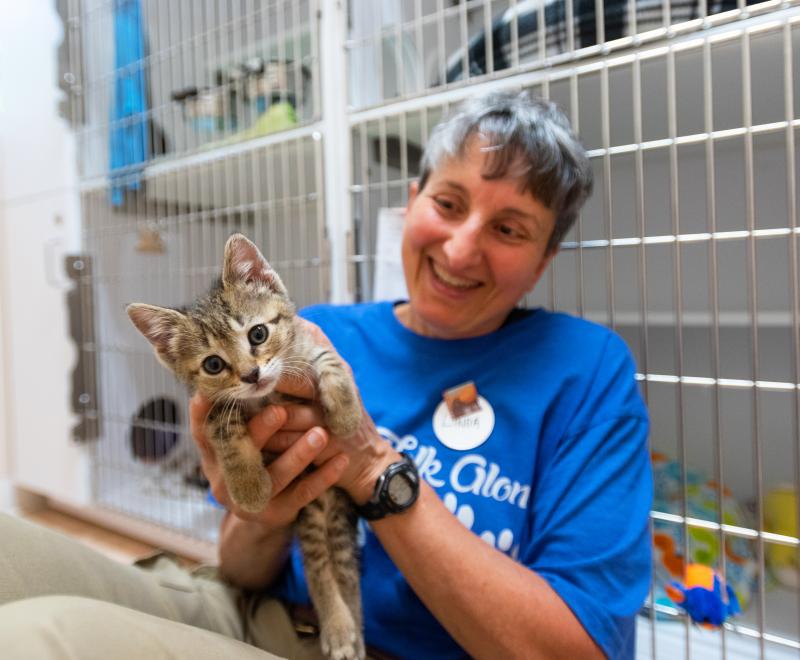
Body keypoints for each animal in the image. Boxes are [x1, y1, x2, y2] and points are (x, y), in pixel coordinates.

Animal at [129, 235, 366, 660]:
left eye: (258, 334)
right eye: (213, 364)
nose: (252, 374)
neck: (269, 397)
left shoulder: (308, 343)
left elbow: (331, 360)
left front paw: (345, 414)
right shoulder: (210, 408)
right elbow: (226, 432)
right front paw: (250, 487)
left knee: (343, 572)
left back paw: (348, 632)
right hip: (311, 512)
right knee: (320, 566)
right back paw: (341, 628)